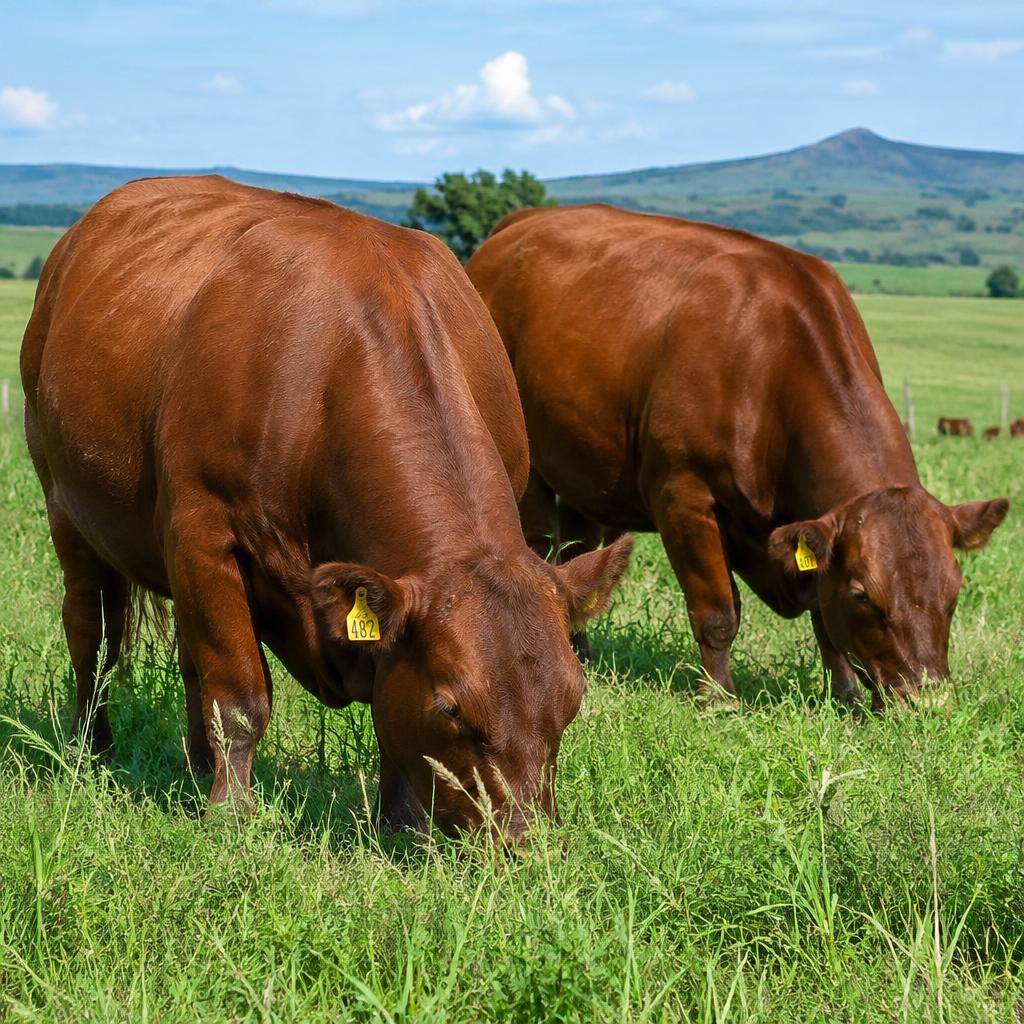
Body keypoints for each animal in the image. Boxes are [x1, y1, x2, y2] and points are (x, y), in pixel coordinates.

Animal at [20, 178, 633, 838]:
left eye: (573, 698)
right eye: (451, 708)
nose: (525, 842)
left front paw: (400, 821)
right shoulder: (204, 534)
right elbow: (237, 695)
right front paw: (231, 814)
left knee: (184, 659)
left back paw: (194, 764)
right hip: (66, 507)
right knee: (93, 633)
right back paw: (91, 751)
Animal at [467, 204, 1009, 710]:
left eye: (955, 592)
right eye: (862, 596)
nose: (928, 700)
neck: (774, 363)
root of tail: (518, 225)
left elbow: (822, 616)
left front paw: (846, 694)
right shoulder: (683, 497)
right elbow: (718, 613)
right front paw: (719, 698)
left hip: (585, 468)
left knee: (580, 549)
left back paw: (582, 650)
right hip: (529, 471)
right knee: (543, 545)